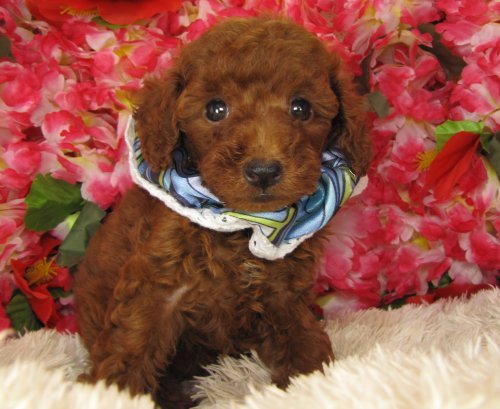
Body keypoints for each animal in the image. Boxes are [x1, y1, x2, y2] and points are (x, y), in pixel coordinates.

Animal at [74, 16, 371, 408]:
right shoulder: (157, 287)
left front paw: (314, 382)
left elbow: (300, 337)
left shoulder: (281, 292)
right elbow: (132, 343)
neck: (243, 225)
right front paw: (114, 392)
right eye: (216, 110)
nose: (263, 171)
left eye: (301, 108)